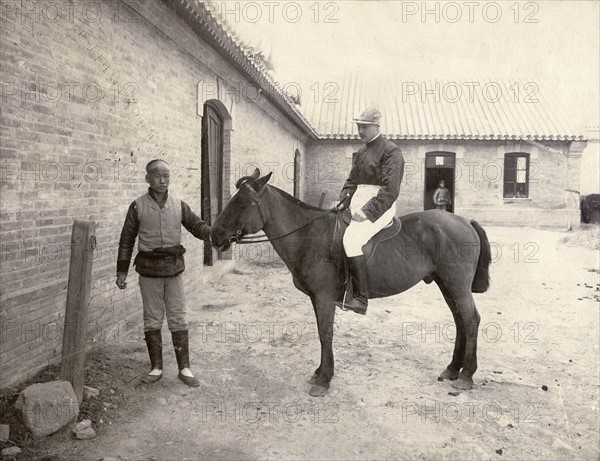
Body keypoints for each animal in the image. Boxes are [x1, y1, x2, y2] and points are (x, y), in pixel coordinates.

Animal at [212, 169, 492, 396]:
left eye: (241, 202)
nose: (214, 235)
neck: (309, 235)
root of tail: (464, 221)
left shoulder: (324, 297)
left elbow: (325, 333)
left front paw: (324, 380)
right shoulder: (316, 297)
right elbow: (321, 332)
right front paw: (320, 372)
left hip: (456, 285)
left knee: (470, 320)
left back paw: (466, 376)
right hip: (446, 285)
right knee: (460, 321)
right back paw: (453, 369)